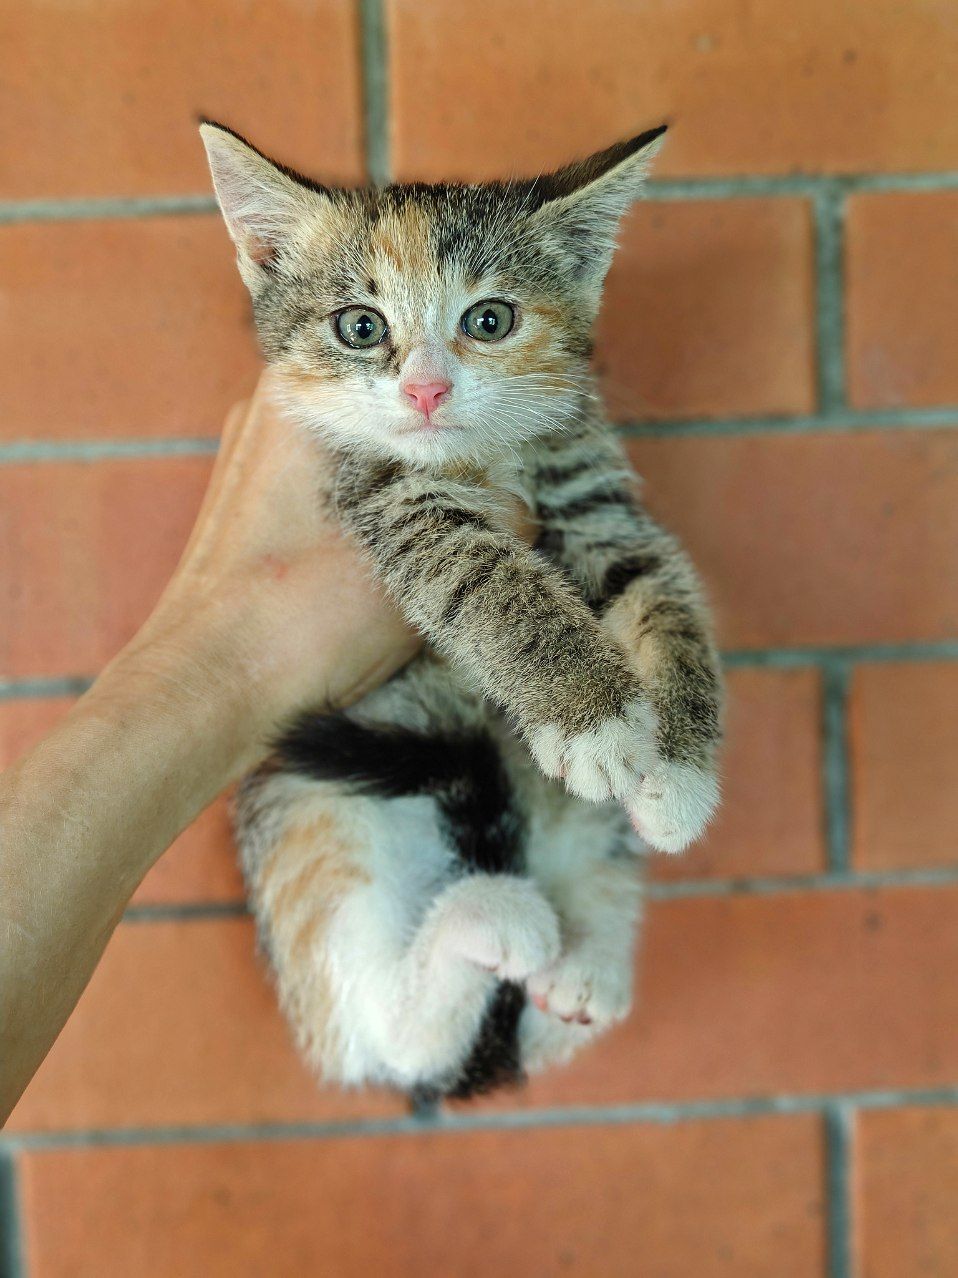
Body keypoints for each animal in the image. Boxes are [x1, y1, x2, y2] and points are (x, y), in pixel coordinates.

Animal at [200, 120, 723, 1100]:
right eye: (360, 327)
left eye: (490, 320)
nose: (426, 390)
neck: (483, 456)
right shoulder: (383, 497)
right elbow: (483, 573)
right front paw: (597, 720)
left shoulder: (595, 495)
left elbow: (662, 601)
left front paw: (677, 775)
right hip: (317, 811)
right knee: (394, 1032)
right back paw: (492, 925)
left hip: (565, 830)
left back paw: (582, 972)